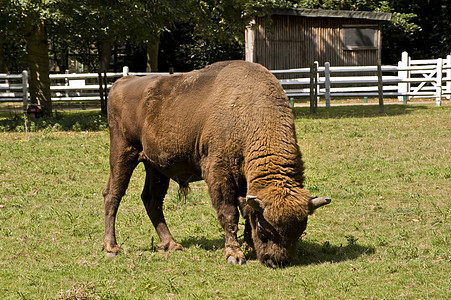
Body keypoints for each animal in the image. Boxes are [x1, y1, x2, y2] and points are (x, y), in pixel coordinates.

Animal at [102, 60, 330, 268]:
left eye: (300, 231)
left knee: (152, 200)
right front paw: (234, 255)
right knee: (113, 195)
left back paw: (171, 245)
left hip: (156, 166)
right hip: (123, 152)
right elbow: (229, 214)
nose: (276, 261)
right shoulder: (220, 175)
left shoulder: (244, 182)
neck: (249, 112)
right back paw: (111, 248)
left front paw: (248, 245)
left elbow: (246, 210)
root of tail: (120, 83)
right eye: (264, 231)